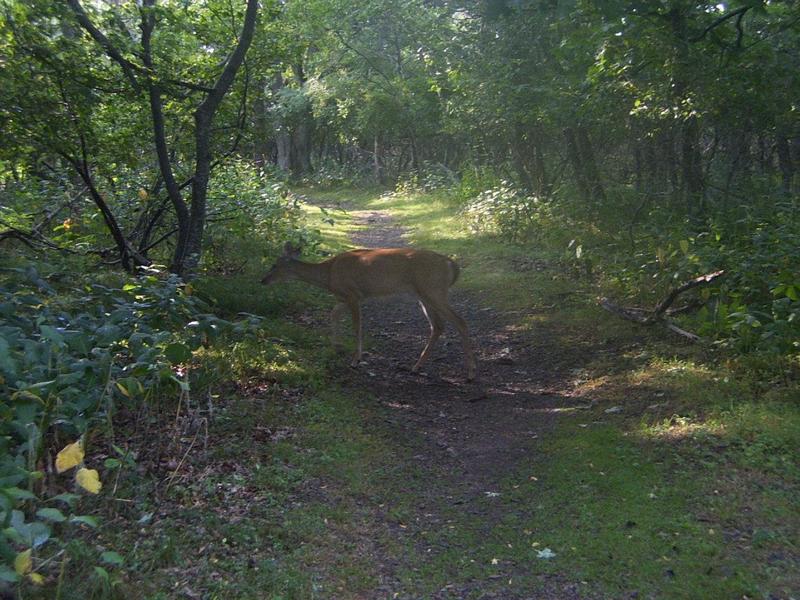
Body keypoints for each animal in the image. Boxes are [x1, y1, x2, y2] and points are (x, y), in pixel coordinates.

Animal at [261, 242, 477, 381]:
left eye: (274, 265)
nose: (262, 280)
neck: (329, 275)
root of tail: (452, 266)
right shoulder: (344, 297)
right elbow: (333, 314)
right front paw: (336, 347)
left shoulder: (353, 294)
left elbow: (357, 326)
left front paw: (356, 359)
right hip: (424, 295)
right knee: (438, 326)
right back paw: (416, 367)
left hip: (433, 290)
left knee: (460, 321)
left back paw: (470, 373)